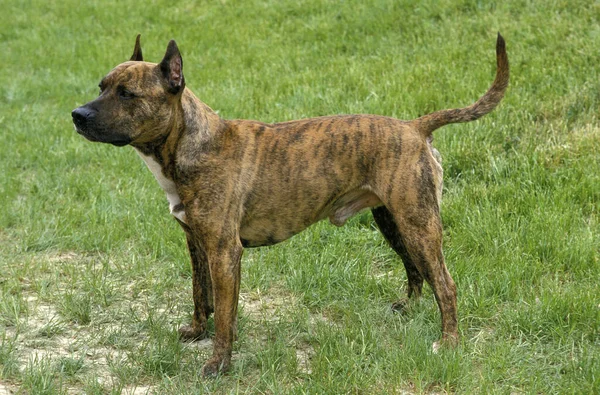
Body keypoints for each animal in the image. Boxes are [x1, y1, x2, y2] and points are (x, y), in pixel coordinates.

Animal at [72, 34, 508, 378]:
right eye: (101, 86)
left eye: (126, 94)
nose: (77, 114)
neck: (193, 144)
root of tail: (415, 127)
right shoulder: (197, 244)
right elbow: (200, 294)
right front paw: (197, 331)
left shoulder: (224, 253)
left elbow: (226, 316)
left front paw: (218, 364)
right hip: (395, 223)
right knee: (417, 271)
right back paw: (411, 308)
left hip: (418, 225)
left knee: (445, 284)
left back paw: (448, 341)